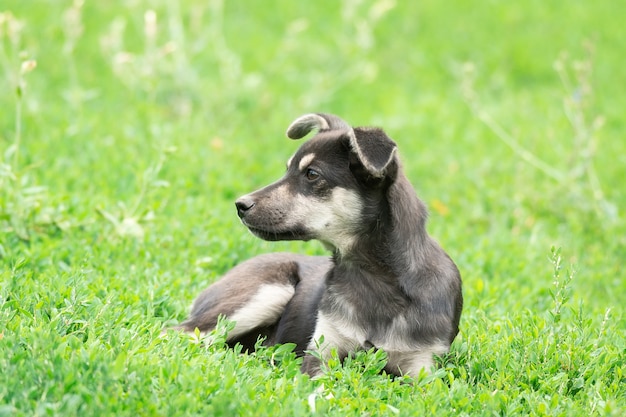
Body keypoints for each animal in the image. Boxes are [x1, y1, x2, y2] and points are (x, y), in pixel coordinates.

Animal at [173, 114, 460, 376]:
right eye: (287, 169)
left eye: (312, 174)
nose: (240, 205)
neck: (376, 278)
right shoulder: (322, 351)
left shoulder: (422, 367)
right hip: (264, 293)